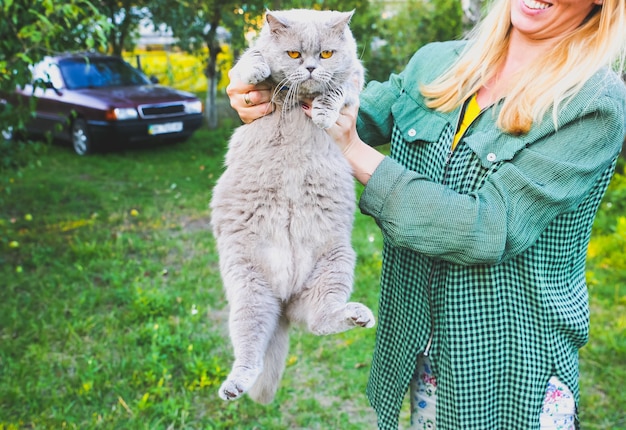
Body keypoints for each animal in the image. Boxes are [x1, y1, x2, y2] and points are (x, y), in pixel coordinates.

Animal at [210, 8, 376, 404]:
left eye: (327, 54)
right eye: (294, 54)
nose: (313, 68)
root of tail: (284, 299)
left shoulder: (355, 77)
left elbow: (338, 88)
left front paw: (323, 112)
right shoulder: (241, 75)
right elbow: (245, 63)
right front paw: (258, 67)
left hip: (336, 262)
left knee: (318, 321)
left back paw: (357, 315)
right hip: (249, 289)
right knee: (251, 346)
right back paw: (235, 385)